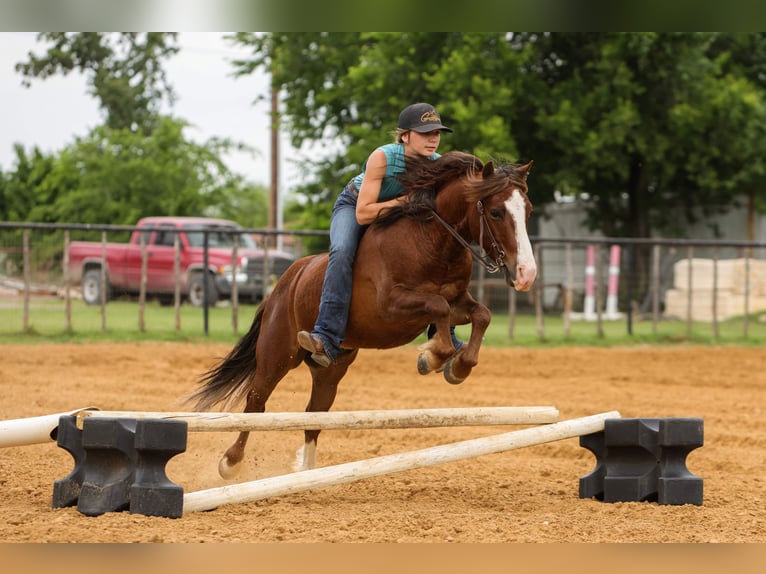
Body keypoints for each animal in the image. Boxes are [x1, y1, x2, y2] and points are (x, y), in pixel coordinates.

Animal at [189, 151, 537, 478]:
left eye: (529, 210)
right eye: (496, 212)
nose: (526, 273)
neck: (430, 242)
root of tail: (283, 284)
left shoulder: (459, 302)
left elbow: (481, 314)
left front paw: (458, 364)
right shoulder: (391, 306)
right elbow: (437, 306)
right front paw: (434, 356)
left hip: (332, 367)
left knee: (313, 414)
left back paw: (309, 473)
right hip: (277, 354)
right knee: (256, 402)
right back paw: (230, 463)